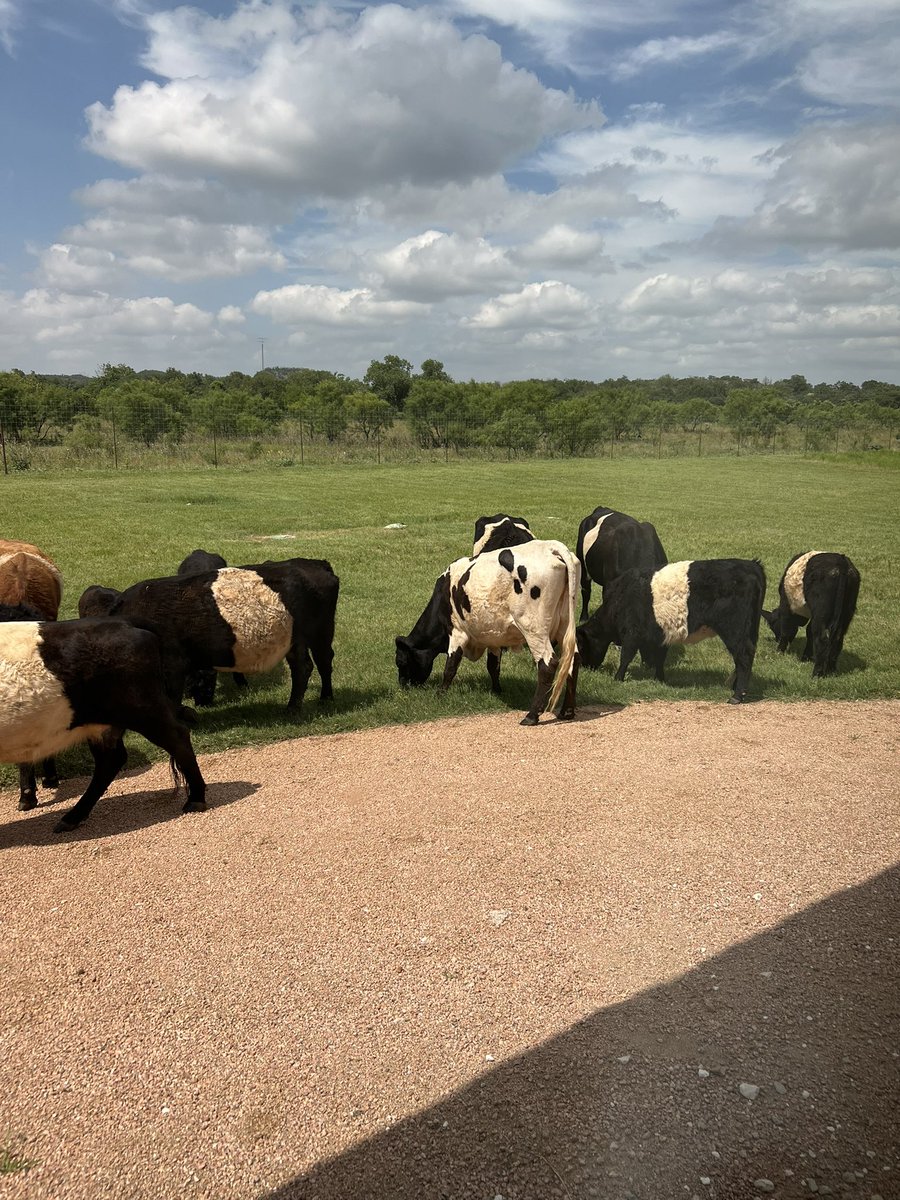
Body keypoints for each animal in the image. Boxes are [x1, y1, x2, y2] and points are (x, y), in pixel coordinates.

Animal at [0, 610, 206, 832]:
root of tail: (123, 621)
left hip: (143, 709)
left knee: (178, 737)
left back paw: (196, 799)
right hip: (101, 724)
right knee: (110, 761)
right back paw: (72, 816)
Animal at [396, 540, 581, 725]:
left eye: (401, 662)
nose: (403, 686)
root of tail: (551, 547)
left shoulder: (457, 632)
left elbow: (450, 666)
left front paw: (440, 694)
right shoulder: (494, 638)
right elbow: (493, 666)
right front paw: (497, 689)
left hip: (534, 629)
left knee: (547, 664)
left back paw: (532, 715)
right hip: (565, 626)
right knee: (573, 660)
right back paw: (567, 711)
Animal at [576, 558, 766, 703]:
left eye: (582, 646)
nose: (586, 668)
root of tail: (751, 565)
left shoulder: (631, 633)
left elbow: (626, 657)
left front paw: (618, 678)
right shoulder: (662, 635)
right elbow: (660, 658)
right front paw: (659, 679)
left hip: (734, 630)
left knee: (744, 656)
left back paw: (737, 695)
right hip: (749, 630)